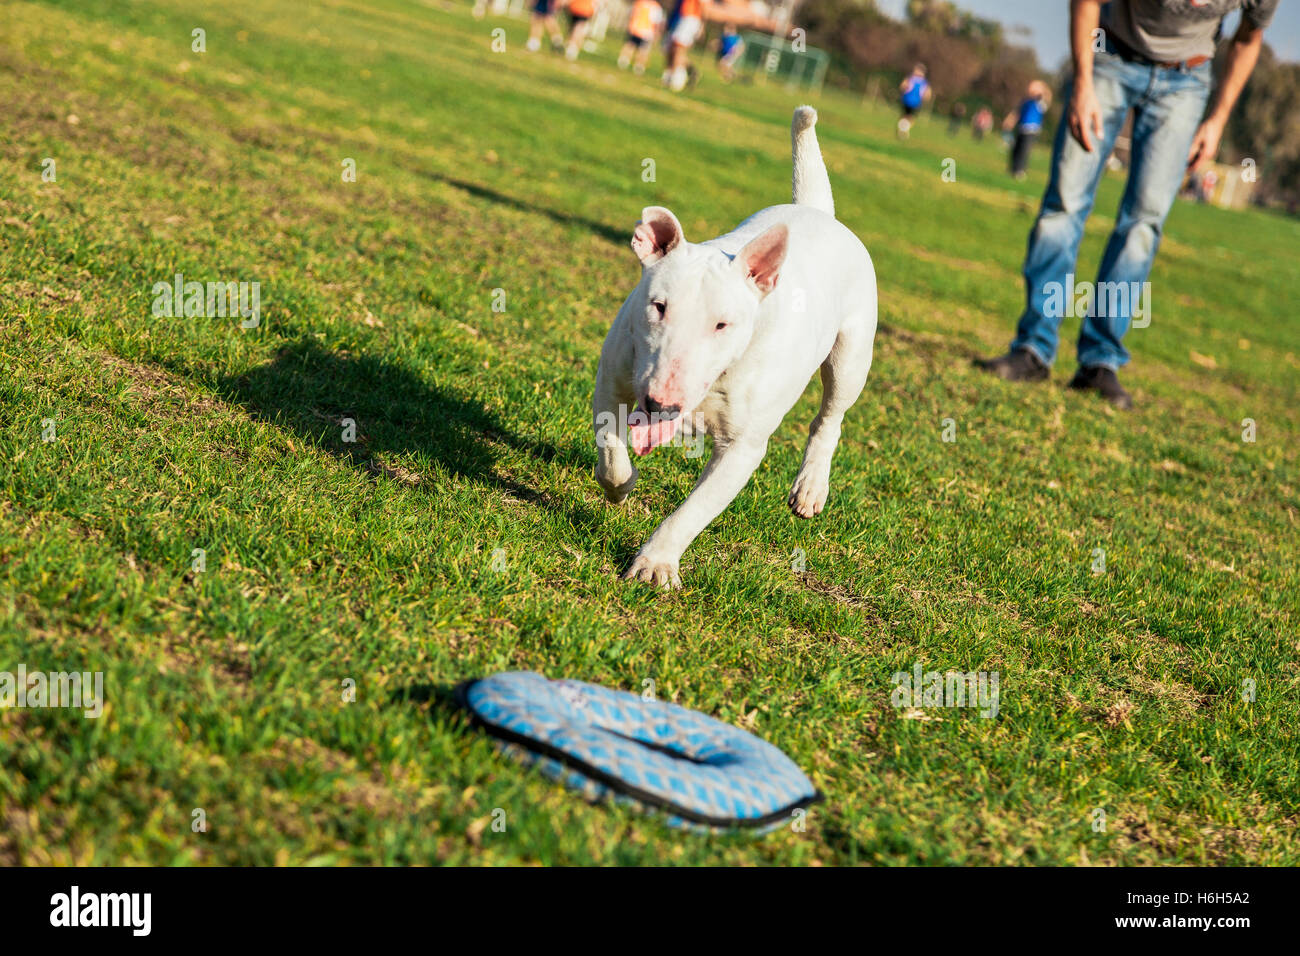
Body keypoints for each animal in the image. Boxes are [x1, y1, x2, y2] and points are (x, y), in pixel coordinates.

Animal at [595, 104, 878, 587]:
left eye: (722, 325)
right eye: (658, 307)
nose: (661, 404)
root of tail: (818, 211)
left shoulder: (742, 448)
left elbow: (692, 512)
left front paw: (655, 564)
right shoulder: (613, 379)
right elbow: (611, 445)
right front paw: (620, 486)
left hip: (851, 354)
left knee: (831, 416)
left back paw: (811, 487)